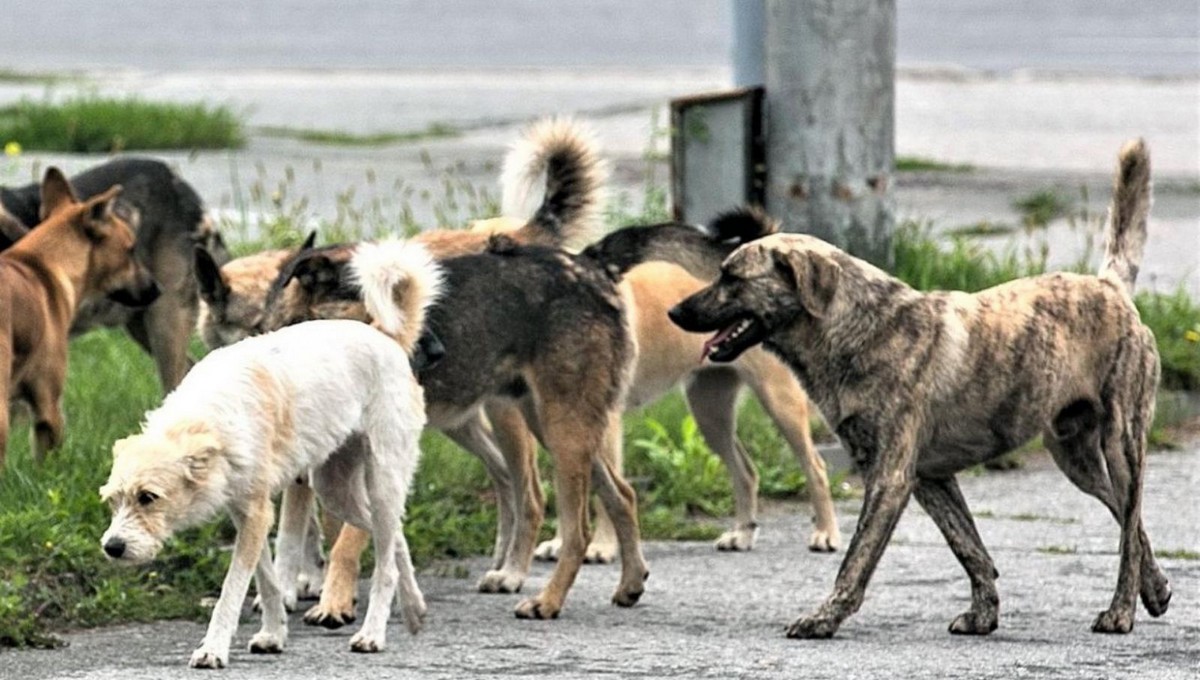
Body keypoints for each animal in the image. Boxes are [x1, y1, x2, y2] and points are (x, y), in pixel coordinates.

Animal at [98, 241, 444, 671]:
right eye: (113, 501)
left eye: (148, 497)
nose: (112, 548)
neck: (208, 418)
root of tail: (387, 338)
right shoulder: (248, 514)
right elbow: (267, 580)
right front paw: (273, 634)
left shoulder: (256, 515)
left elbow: (233, 589)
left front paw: (214, 648)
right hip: (336, 491)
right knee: (394, 539)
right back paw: (413, 608)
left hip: (380, 481)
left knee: (384, 565)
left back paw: (372, 633)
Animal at [676, 140, 1171, 642]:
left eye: (732, 277)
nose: (675, 311)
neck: (859, 328)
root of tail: (1109, 286)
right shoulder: (930, 479)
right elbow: (970, 549)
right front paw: (983, 614)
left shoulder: (890, 479)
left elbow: (855, 561)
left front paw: (824, 617)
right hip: (1076, 458)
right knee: (1130, 521)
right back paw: (1155, 588)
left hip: (1121, 444)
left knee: (1129, 527)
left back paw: (1121, 611)